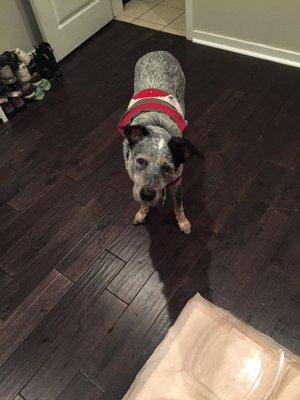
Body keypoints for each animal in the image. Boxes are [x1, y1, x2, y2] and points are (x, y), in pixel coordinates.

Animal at [118, 51, 203, 236]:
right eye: (140, 161)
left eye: (167, 168)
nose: (147, 194)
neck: (157, 129)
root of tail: (159, 51)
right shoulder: (136, 180)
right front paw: (142, 212)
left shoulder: (177, 182)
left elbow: (178, 206)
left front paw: (183, 222)